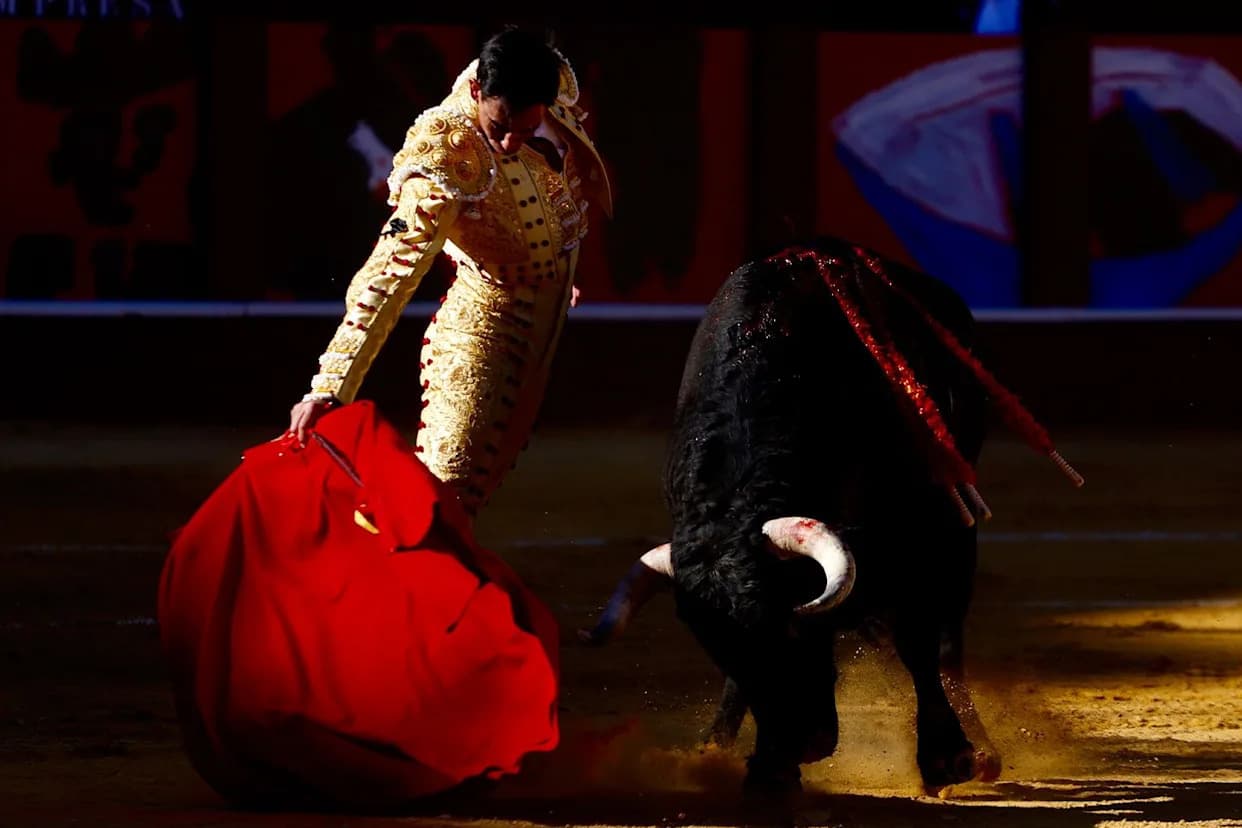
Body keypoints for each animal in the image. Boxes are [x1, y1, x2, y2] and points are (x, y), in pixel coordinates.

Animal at [579, 236, 1082, 802]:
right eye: (718, 649)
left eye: (794, 630)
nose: (804, 742)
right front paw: (764, 769)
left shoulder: (922, 532)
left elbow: (920, 641)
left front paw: (945, 759)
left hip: (955, 522)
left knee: (947, 636)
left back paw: (981, 753)